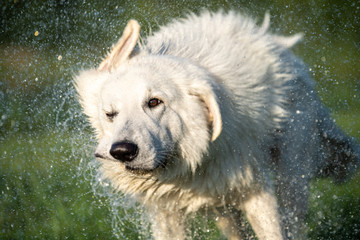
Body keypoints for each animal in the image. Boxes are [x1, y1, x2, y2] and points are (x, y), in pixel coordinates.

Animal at [74, 11, 358, 240]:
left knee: (293, 216)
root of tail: (275, 42)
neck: (193, 160)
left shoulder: (255, 188)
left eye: (154, 102)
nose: (122, 151)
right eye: (110, 114)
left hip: (291, 170)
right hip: (222, 202)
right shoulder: (166, 209)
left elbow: (273, 231)